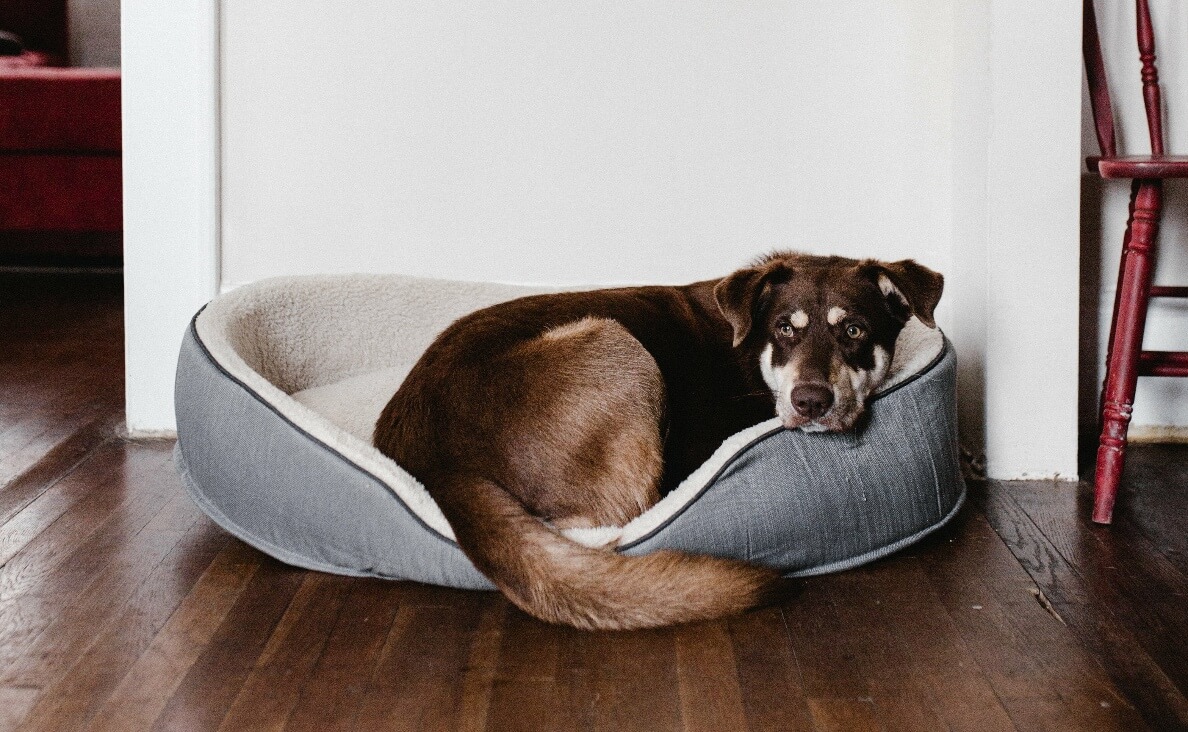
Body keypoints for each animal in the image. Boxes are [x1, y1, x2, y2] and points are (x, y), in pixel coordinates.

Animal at [375, 253, 940, 627]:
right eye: (785, 328)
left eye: (854, 331)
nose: (811, 401)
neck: (751, 351)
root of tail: (437, 462)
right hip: (617, 344)